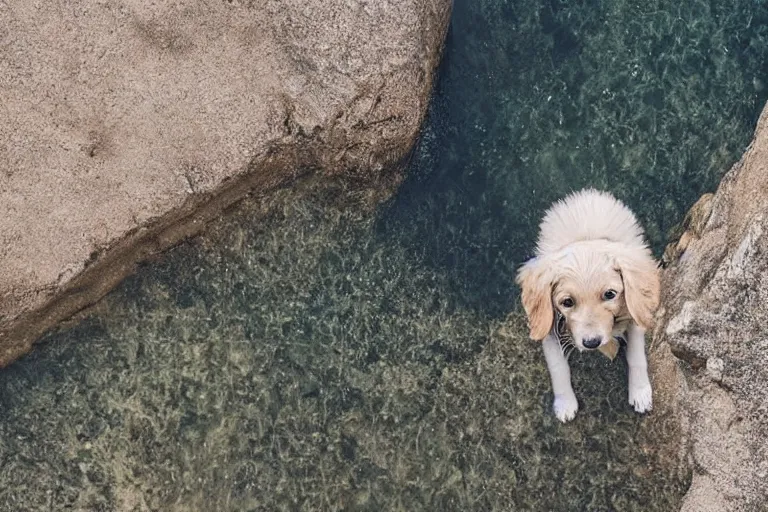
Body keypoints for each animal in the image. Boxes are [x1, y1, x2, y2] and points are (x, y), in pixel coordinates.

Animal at [516, 190, 660, 422]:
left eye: (610, 294)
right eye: (567, 302)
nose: (592, 343)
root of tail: (587, 194)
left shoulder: (635, 309)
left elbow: (636, 355)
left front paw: (640, 392)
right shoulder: (548, 325)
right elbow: (558, 366)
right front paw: (565, 403)